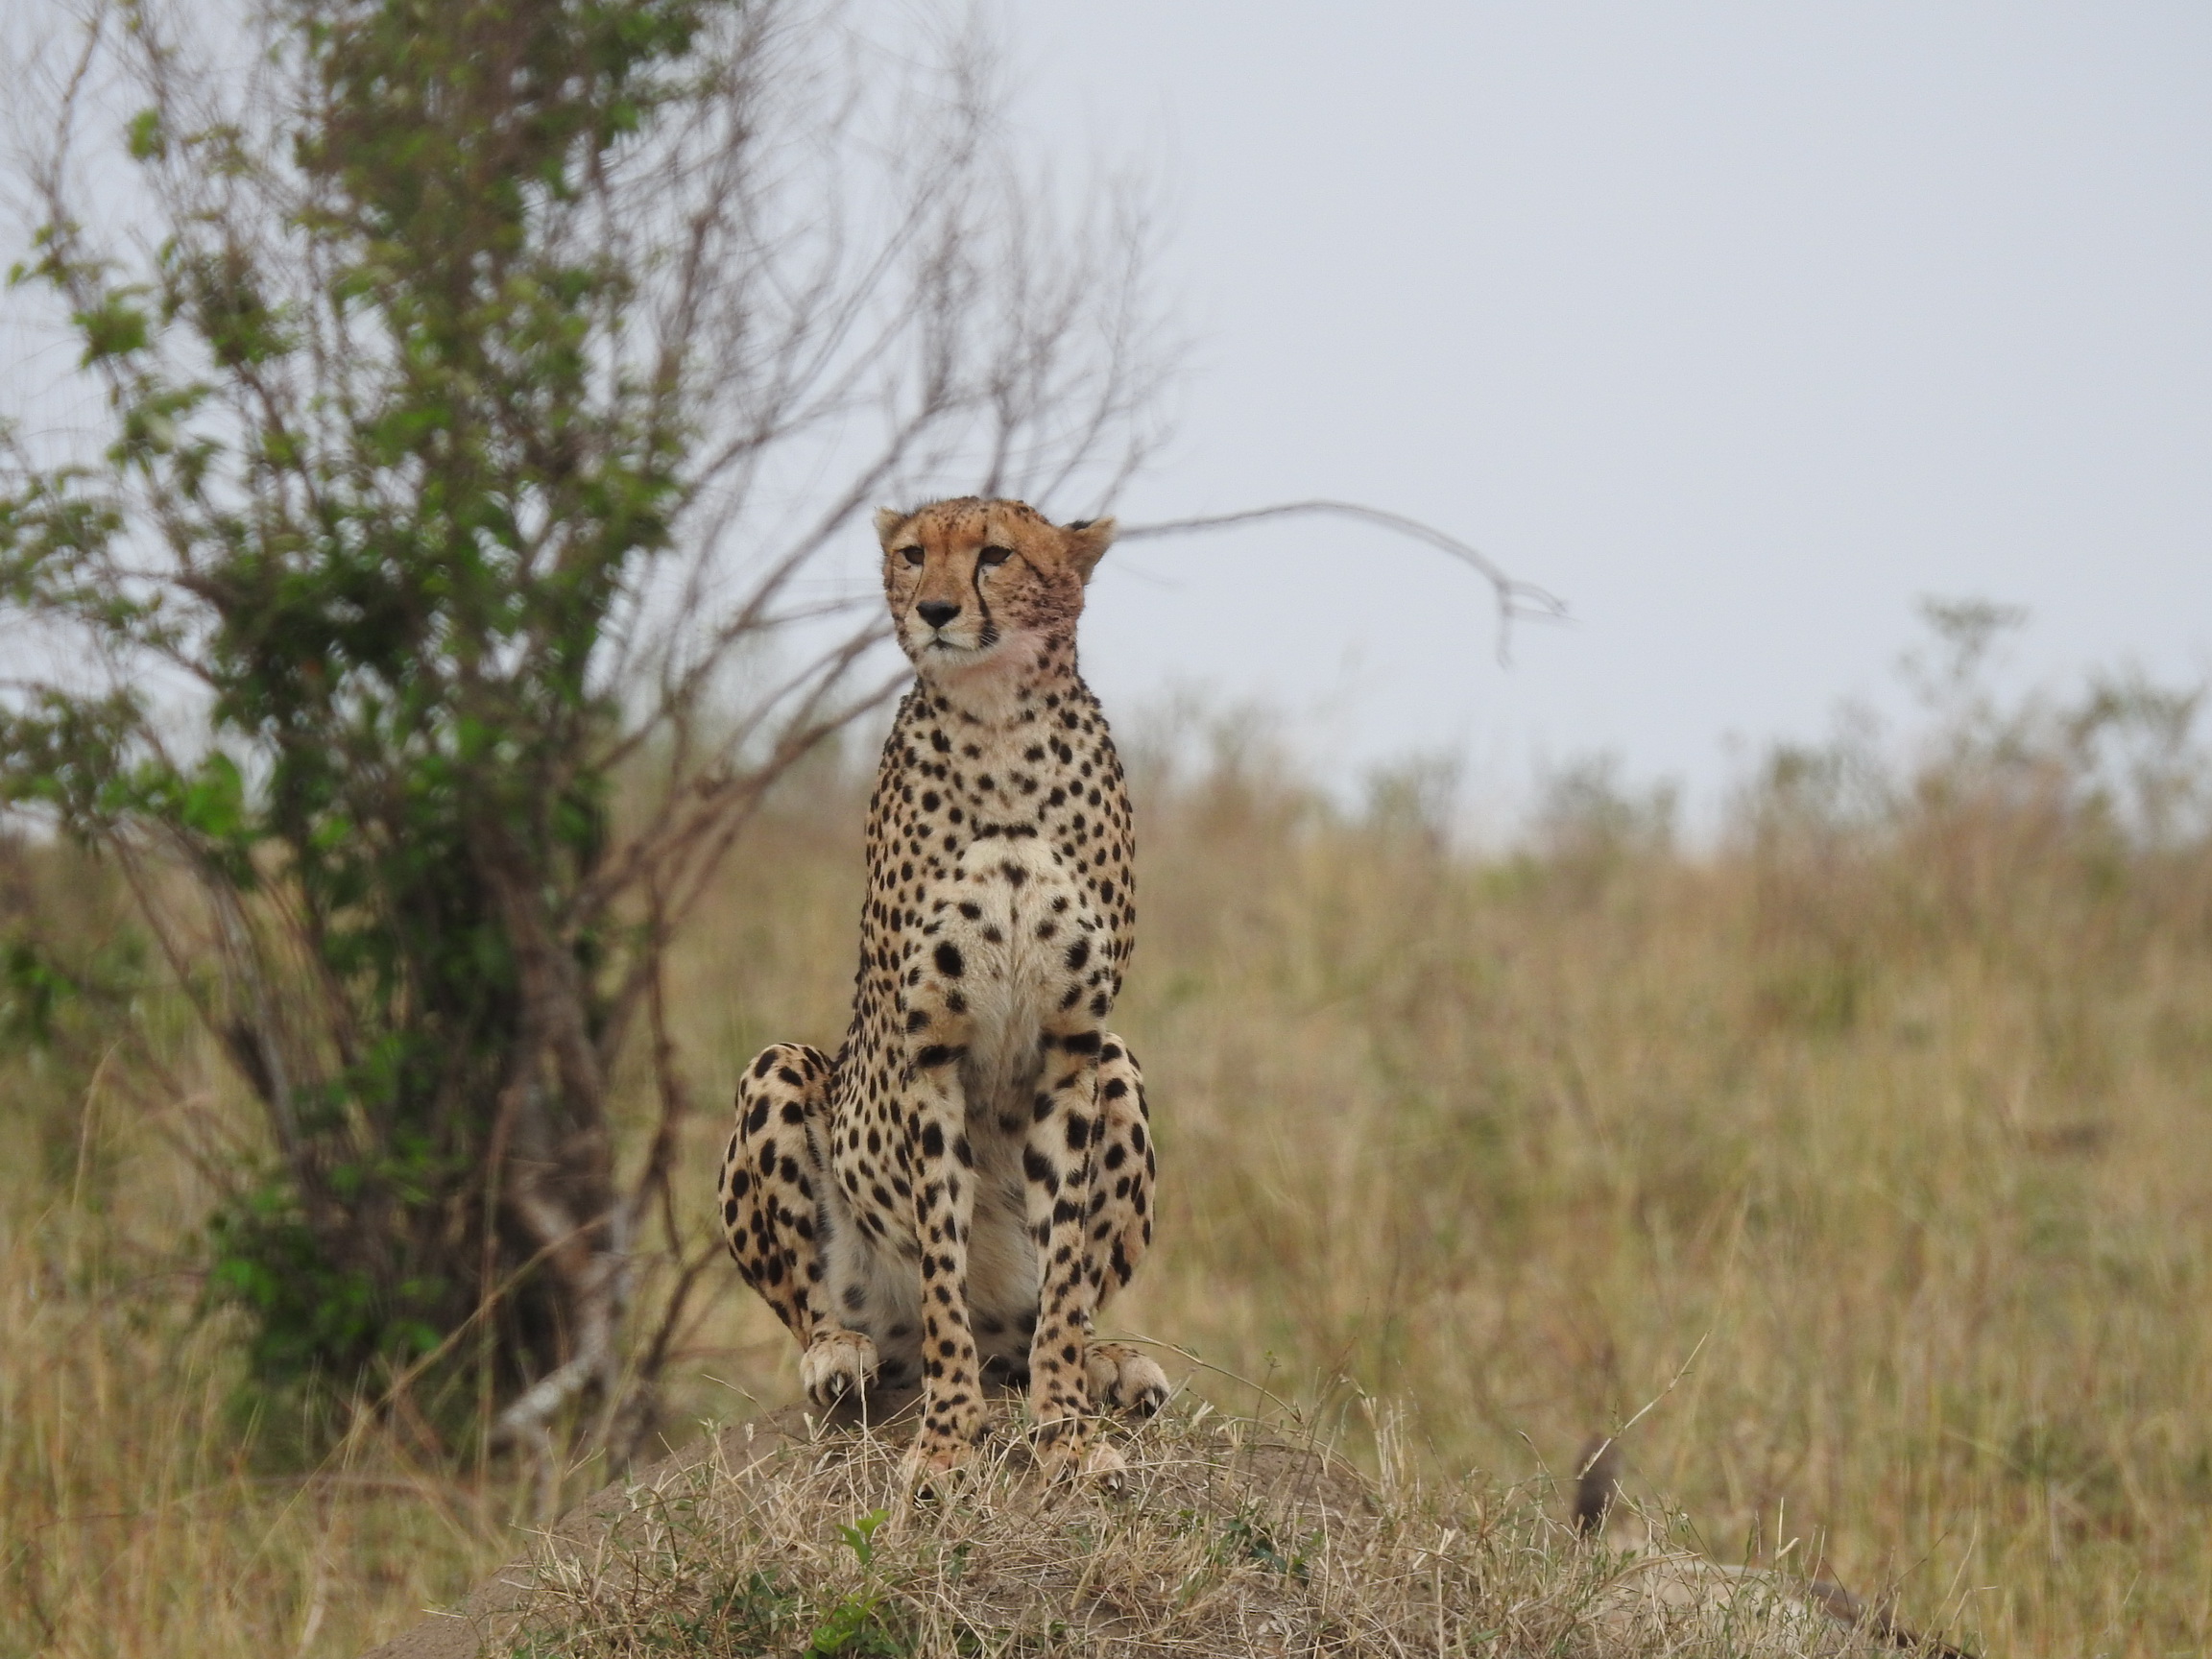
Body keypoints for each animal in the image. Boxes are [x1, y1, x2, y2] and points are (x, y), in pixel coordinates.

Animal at [711, 493, 1167, 1478]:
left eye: (995, 555)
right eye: (915, 554)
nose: (935, 611)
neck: (997, 726)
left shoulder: (1074, 1043)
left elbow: (1065, 1261)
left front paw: (1067, 1430)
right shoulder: (928, 1047)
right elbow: (942, 1263)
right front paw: (952, 1439)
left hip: (1120, 1062)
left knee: (1056, 1311)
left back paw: (1104, 1362)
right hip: (782, 1067)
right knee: (833, 1314)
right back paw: (840, 1354)